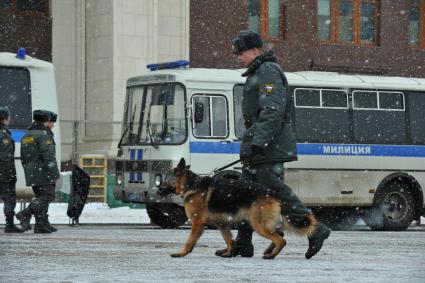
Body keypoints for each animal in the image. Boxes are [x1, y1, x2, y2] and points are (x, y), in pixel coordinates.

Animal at [164, 159, 316, 260]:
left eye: (165, 179)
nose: (159, 190)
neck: (191, 184)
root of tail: (273, 193)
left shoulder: (197, 223)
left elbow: (190, 240)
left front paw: (181, 253)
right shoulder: (222, 224)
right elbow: (229, 239)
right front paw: (229, 253)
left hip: (258, 224)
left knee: (281, 239)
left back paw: (271, 255)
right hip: (261, 223)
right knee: (280, 233)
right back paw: (268, 251)